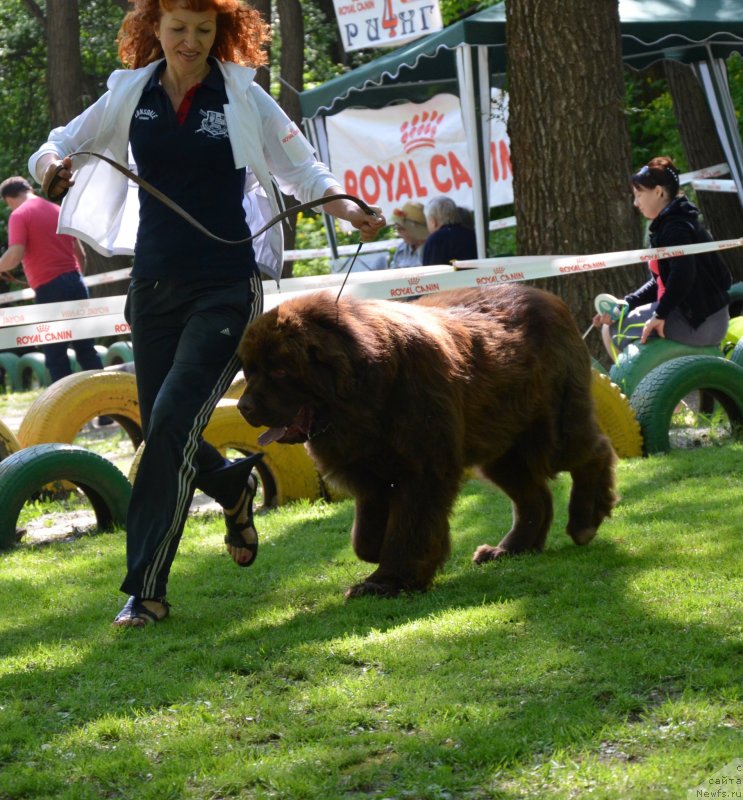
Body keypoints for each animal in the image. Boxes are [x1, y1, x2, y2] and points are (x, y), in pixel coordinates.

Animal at [238, 284, 616, 596]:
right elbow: (366, 535)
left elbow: (411, 525)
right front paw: (377, 553)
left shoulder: (422, 467)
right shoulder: (367, 470)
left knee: (594, 452)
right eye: (250, 371)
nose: (243, 407)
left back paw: (585, 520)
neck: (367, 393)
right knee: (534, 496)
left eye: (280, 371)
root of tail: (551, 298)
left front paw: (388, 581)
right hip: (501, 447)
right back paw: (510, 549)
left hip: (549, 431)